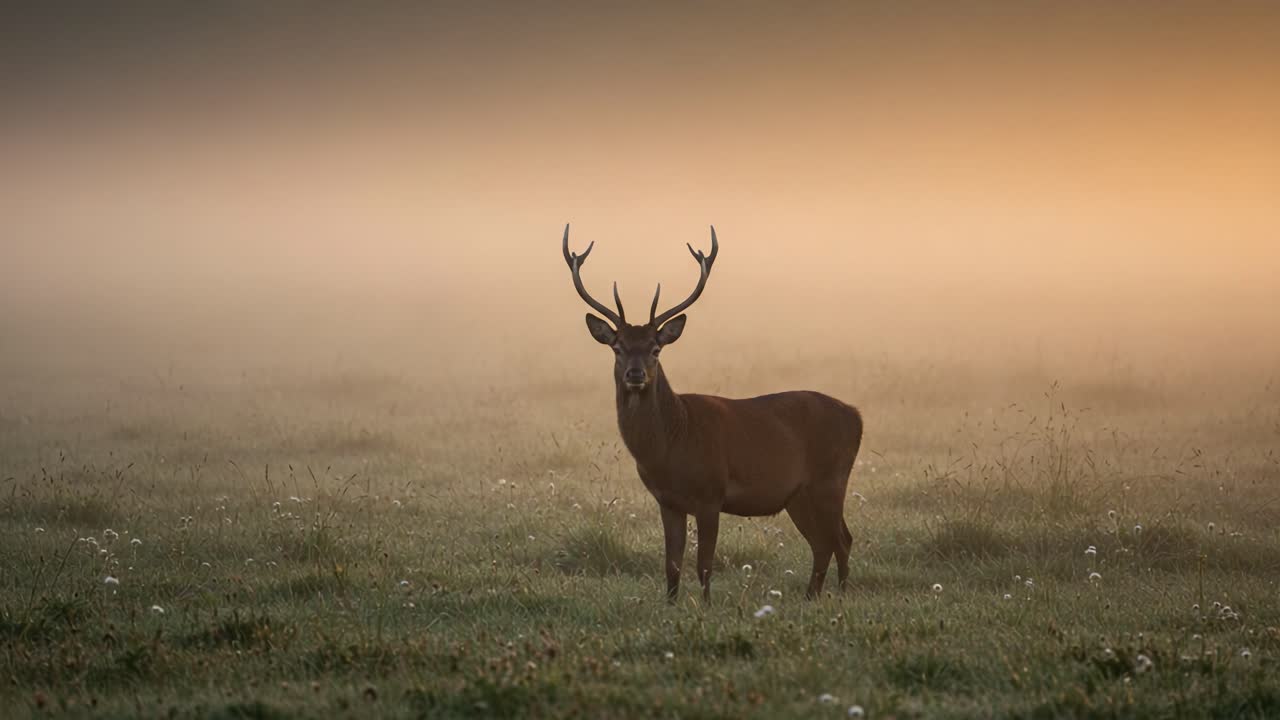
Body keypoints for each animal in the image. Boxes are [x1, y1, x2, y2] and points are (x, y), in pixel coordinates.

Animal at [561, 224, 863, 603]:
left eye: (656, 349)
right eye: (617, 348)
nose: (635, 374)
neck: (671, 445)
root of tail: (857, 416)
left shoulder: (711, 493)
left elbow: (704, 564)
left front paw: (705, 607)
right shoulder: (668, 501)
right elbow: (671, 564)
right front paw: (670, 606)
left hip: (831, 479)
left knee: (842, 539)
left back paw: (841, 595)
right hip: (798, 495)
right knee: (823, 543)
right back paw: (812, 597)